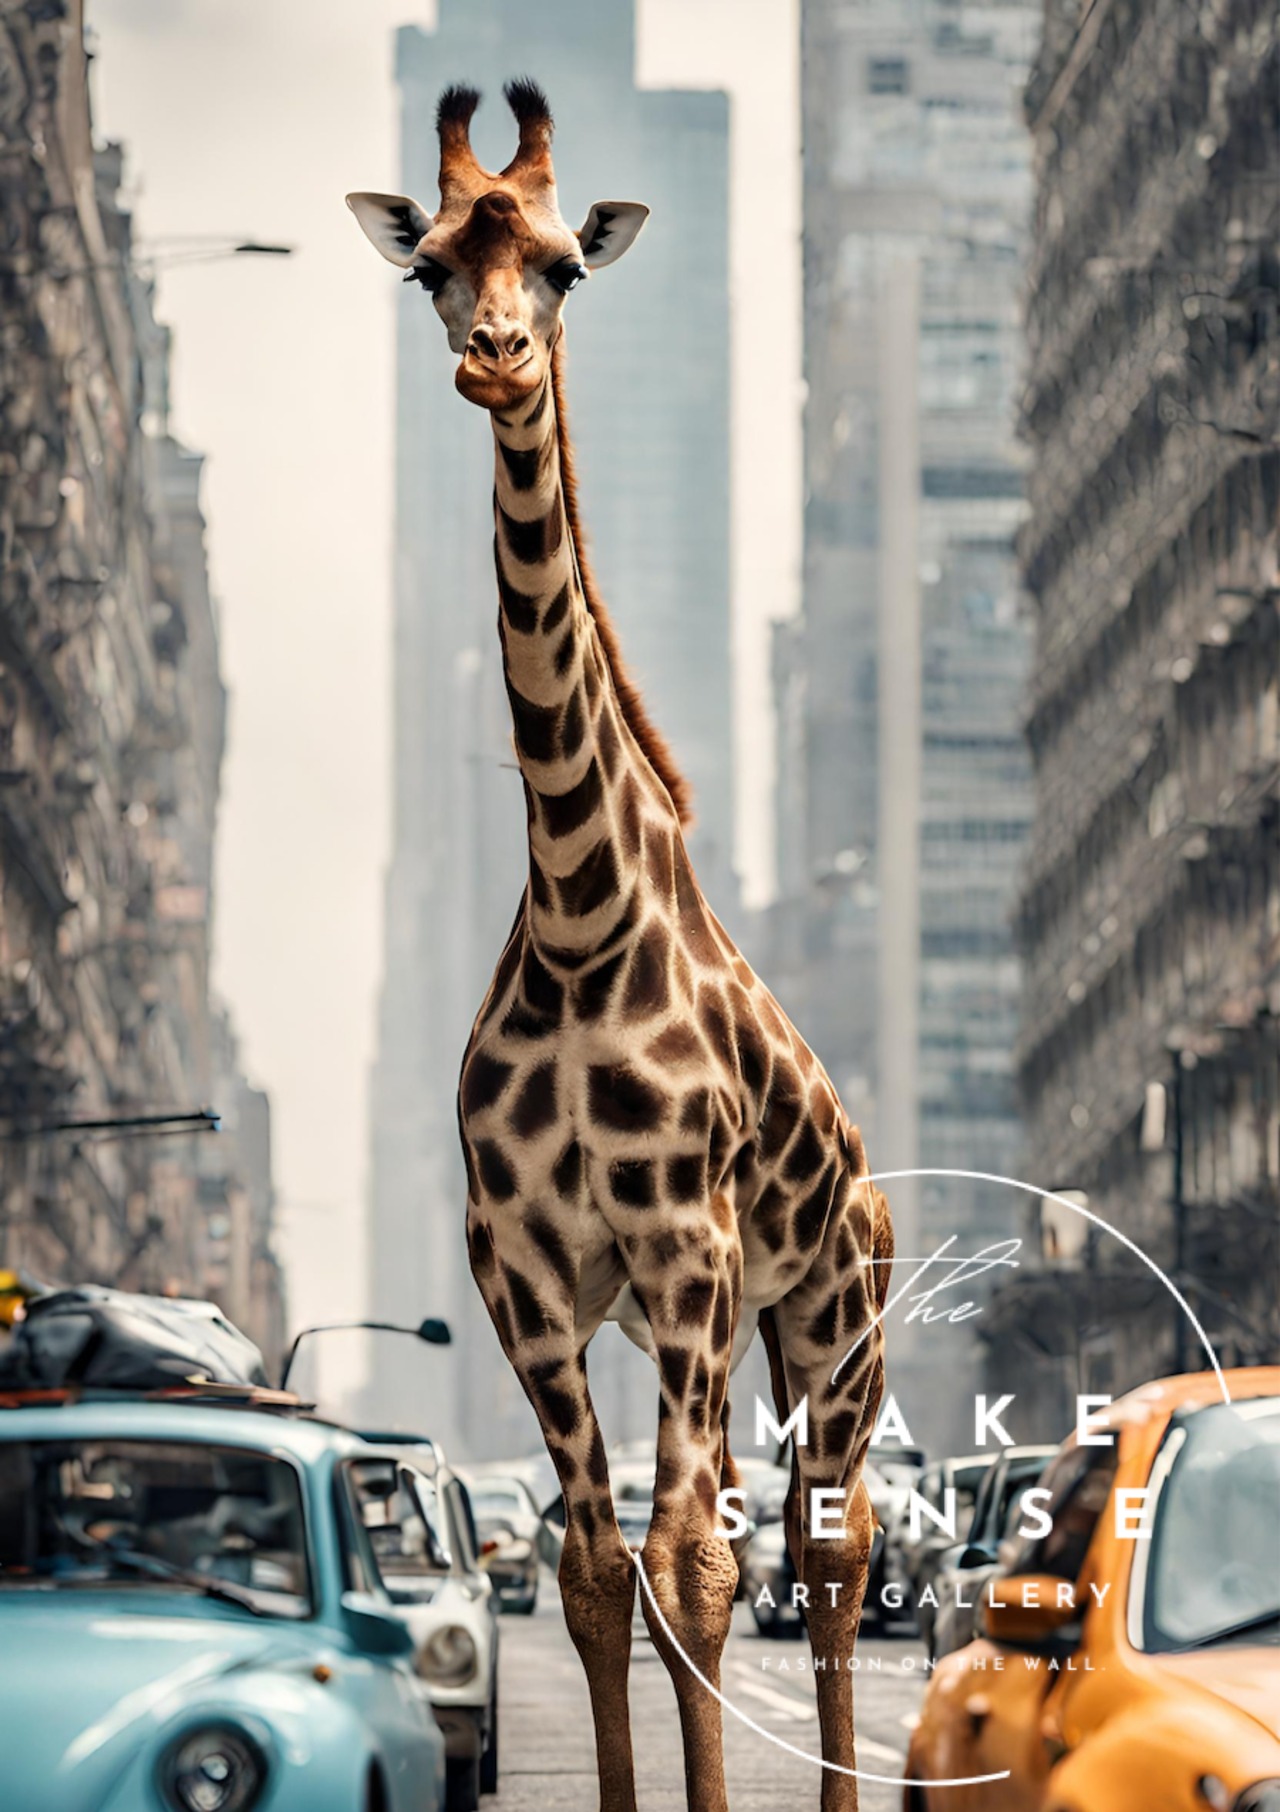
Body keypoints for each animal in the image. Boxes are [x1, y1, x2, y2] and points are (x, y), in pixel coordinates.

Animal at [349, 80, 894, 1812]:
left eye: (564, 268)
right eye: (433, 266)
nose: (496, 355)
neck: (585, 923)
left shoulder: (692, 1252)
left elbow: (701, 1571)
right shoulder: (527, 1280)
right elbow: (598, 1576)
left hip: (832, 1321)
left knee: (834, 1553)